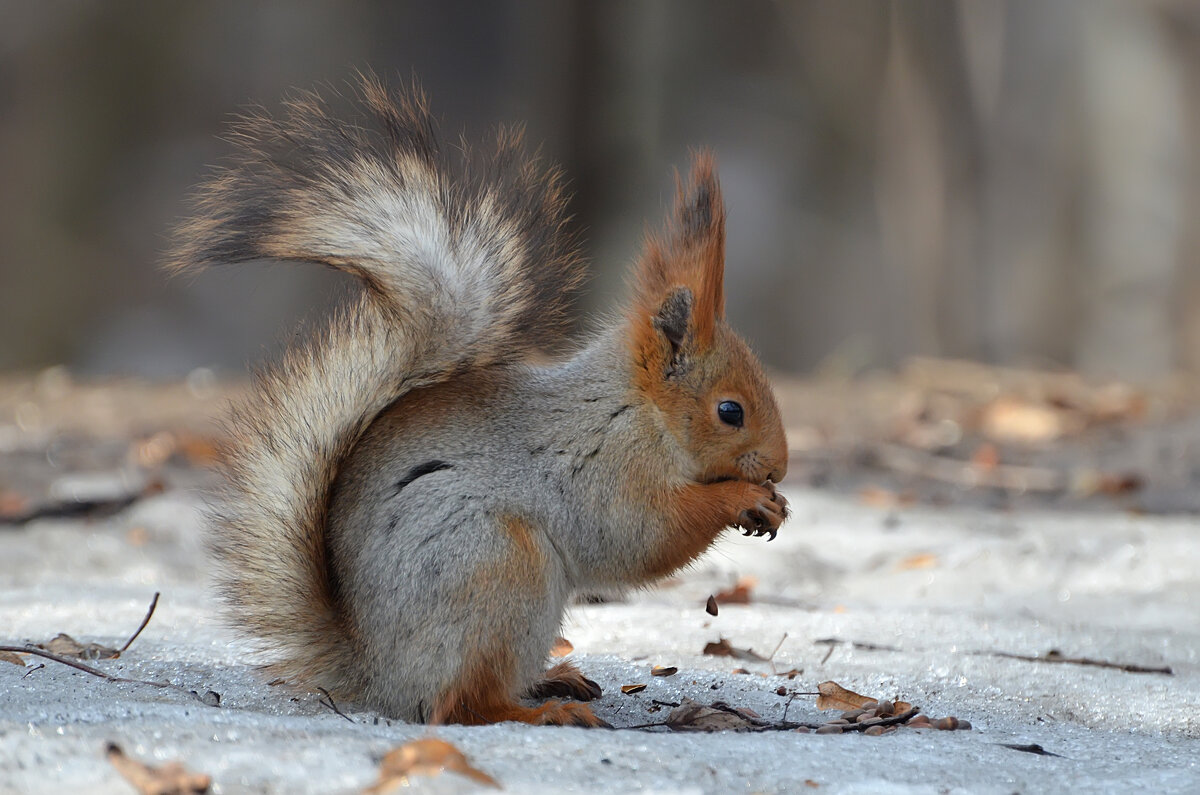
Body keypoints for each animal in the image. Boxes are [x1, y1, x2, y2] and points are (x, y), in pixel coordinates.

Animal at [169, 76, 787, 730]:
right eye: (730, 411)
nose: (778, 468)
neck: (638, 412)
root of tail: (380, 676)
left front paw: (773, 505)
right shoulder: (602, 468)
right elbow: (642, 535)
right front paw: (743, 498)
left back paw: (554, 680)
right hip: (498, 570)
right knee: (462, 705)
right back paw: (542, 711)